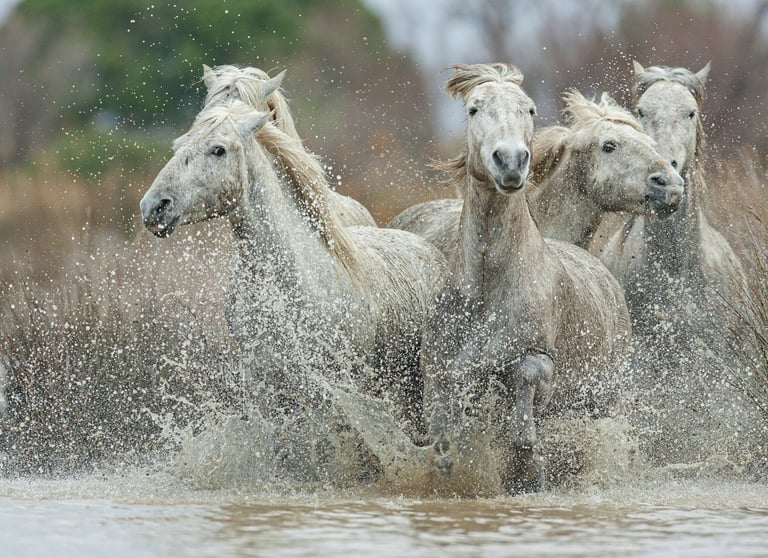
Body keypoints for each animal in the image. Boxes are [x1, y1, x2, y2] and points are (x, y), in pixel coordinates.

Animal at [139, 100, 447, 462]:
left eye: (219, 150)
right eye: (177, 146)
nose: (154, 207)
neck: (289, 284)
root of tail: (428, 249)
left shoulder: (334, 390)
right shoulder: (264, 387)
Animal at [420, 64, 631, 494]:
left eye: (530, 109)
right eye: (473, 108)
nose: (512, 161)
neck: (488, 287)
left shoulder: (540, 361)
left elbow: (525, 377)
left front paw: (527, 461)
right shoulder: (440, 369)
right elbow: (443, 434)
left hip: (607, 397)